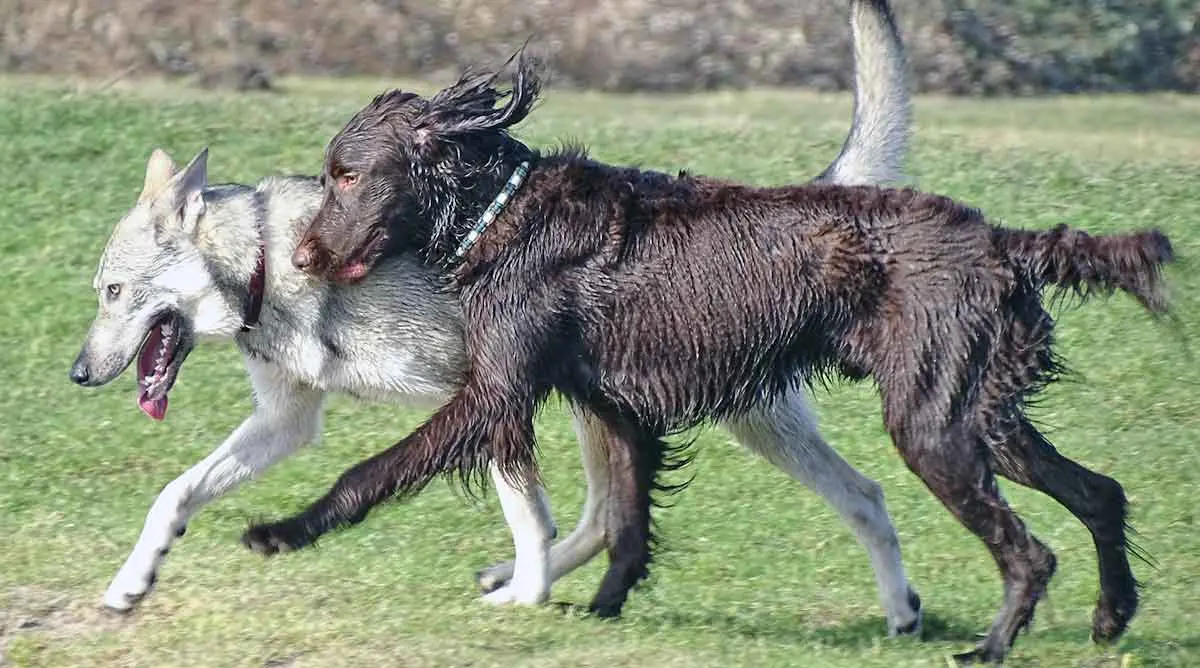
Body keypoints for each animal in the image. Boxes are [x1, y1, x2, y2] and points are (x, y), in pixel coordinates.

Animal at [248, 50, 1176, 662]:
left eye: (346, 175)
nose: (299, 256)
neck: (501, 212)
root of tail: (997, 239)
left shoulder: (496, 394)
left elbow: (372, 469)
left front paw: (282, 530)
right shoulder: (621, 410)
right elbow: (627, 528)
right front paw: (600, 614)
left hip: (933, 428)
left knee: (1031, 550)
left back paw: (989, 649)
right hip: (981, 416)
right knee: (1101, 493)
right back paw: (1111, 618)